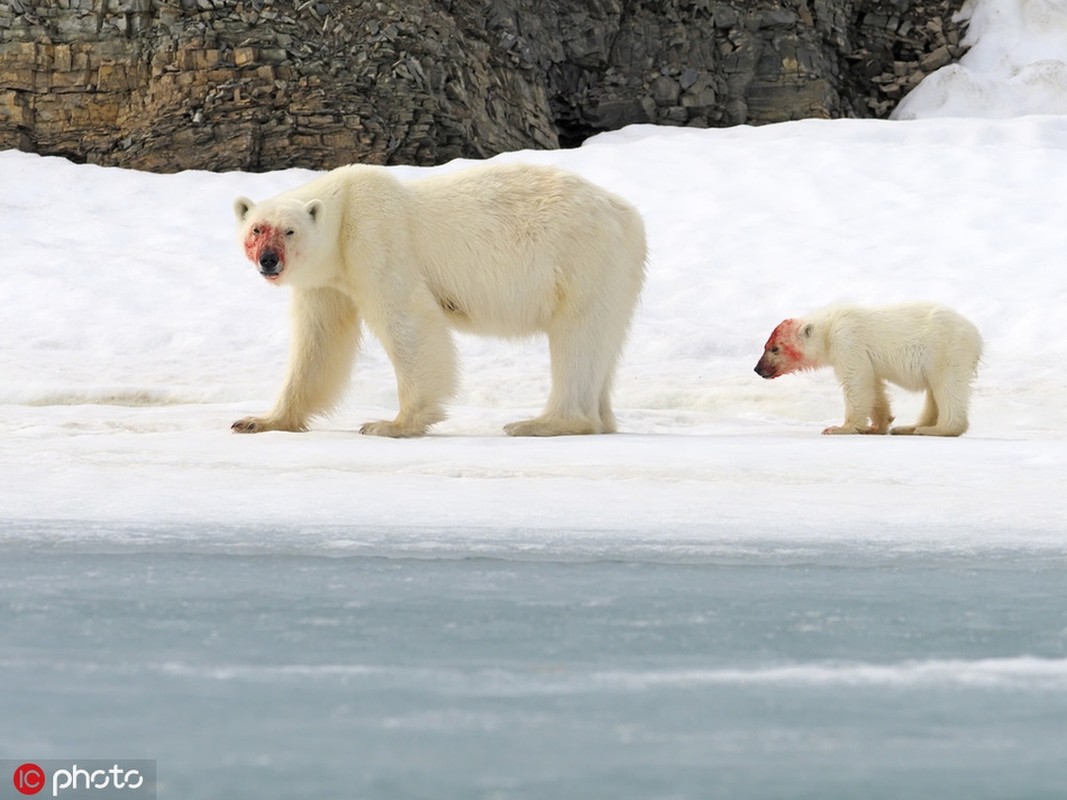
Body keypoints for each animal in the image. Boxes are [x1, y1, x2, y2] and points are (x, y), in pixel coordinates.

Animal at [230, 163, 644, 439]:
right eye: (257, 229)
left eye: (289, 230)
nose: (269, 260)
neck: (345, 206)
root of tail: (628, 216)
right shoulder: (326, 281)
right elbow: (319, 343)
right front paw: (258, 420)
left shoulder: (377, 238)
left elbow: (407, 319)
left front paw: (391, 424)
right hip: (615, 271)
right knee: (603, 343)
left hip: (583, 259)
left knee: (578, 337)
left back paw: (539, 422)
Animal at [755, 302, 977, 439]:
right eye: (765, 345)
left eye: (774, 348)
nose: (757, 369)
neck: (829, 327)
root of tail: (977, 336)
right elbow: (874, 386)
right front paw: (877, 426)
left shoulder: (847, 342)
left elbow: (856, 381)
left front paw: (839, 428)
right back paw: (909, 427)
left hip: (946, 351)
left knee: (947, 387)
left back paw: (935, 429)